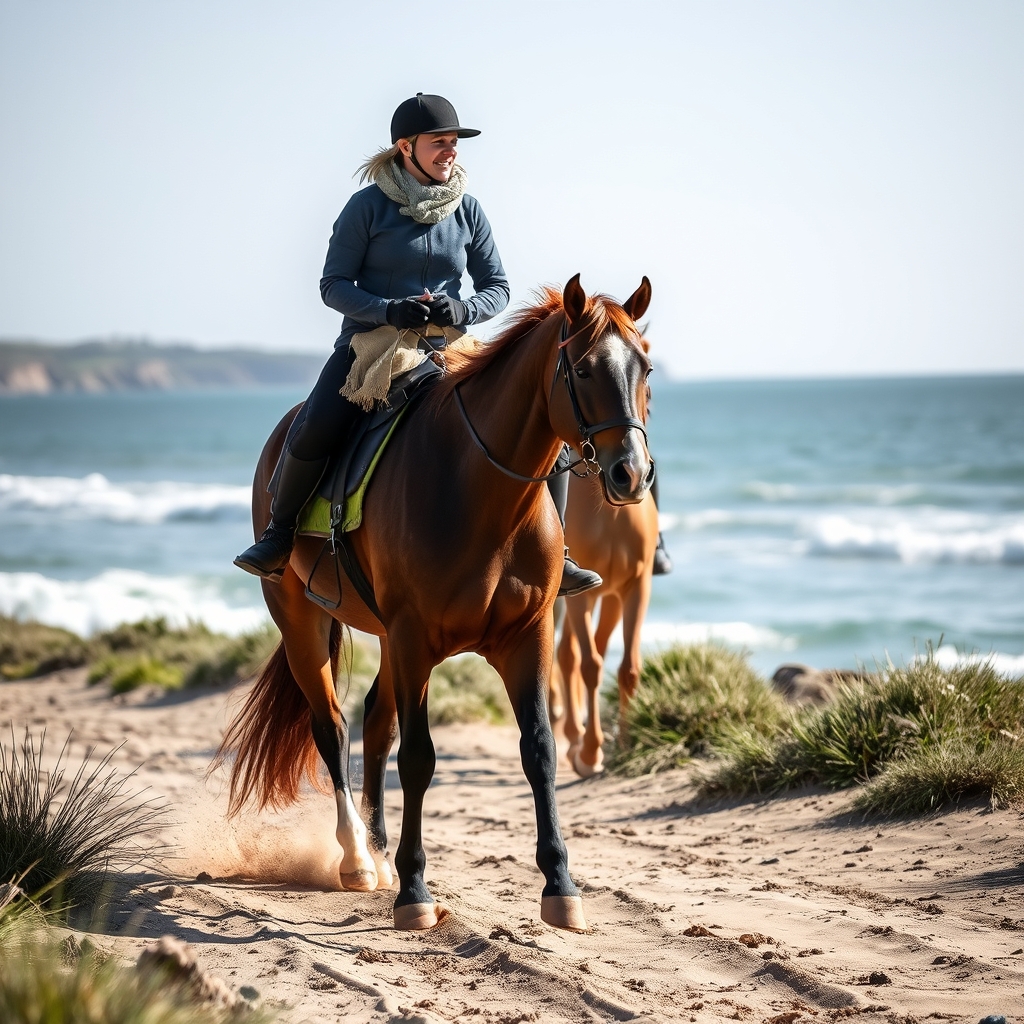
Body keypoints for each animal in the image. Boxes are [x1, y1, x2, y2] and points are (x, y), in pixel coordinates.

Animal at [550, 468, 659, 777]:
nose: (633, 476)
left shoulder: (630, 589)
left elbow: (628, 668)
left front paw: (625, 744)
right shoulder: (582, 597)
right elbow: (589, 665)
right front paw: (589, 754)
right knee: (565, 653)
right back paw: (571, 732)